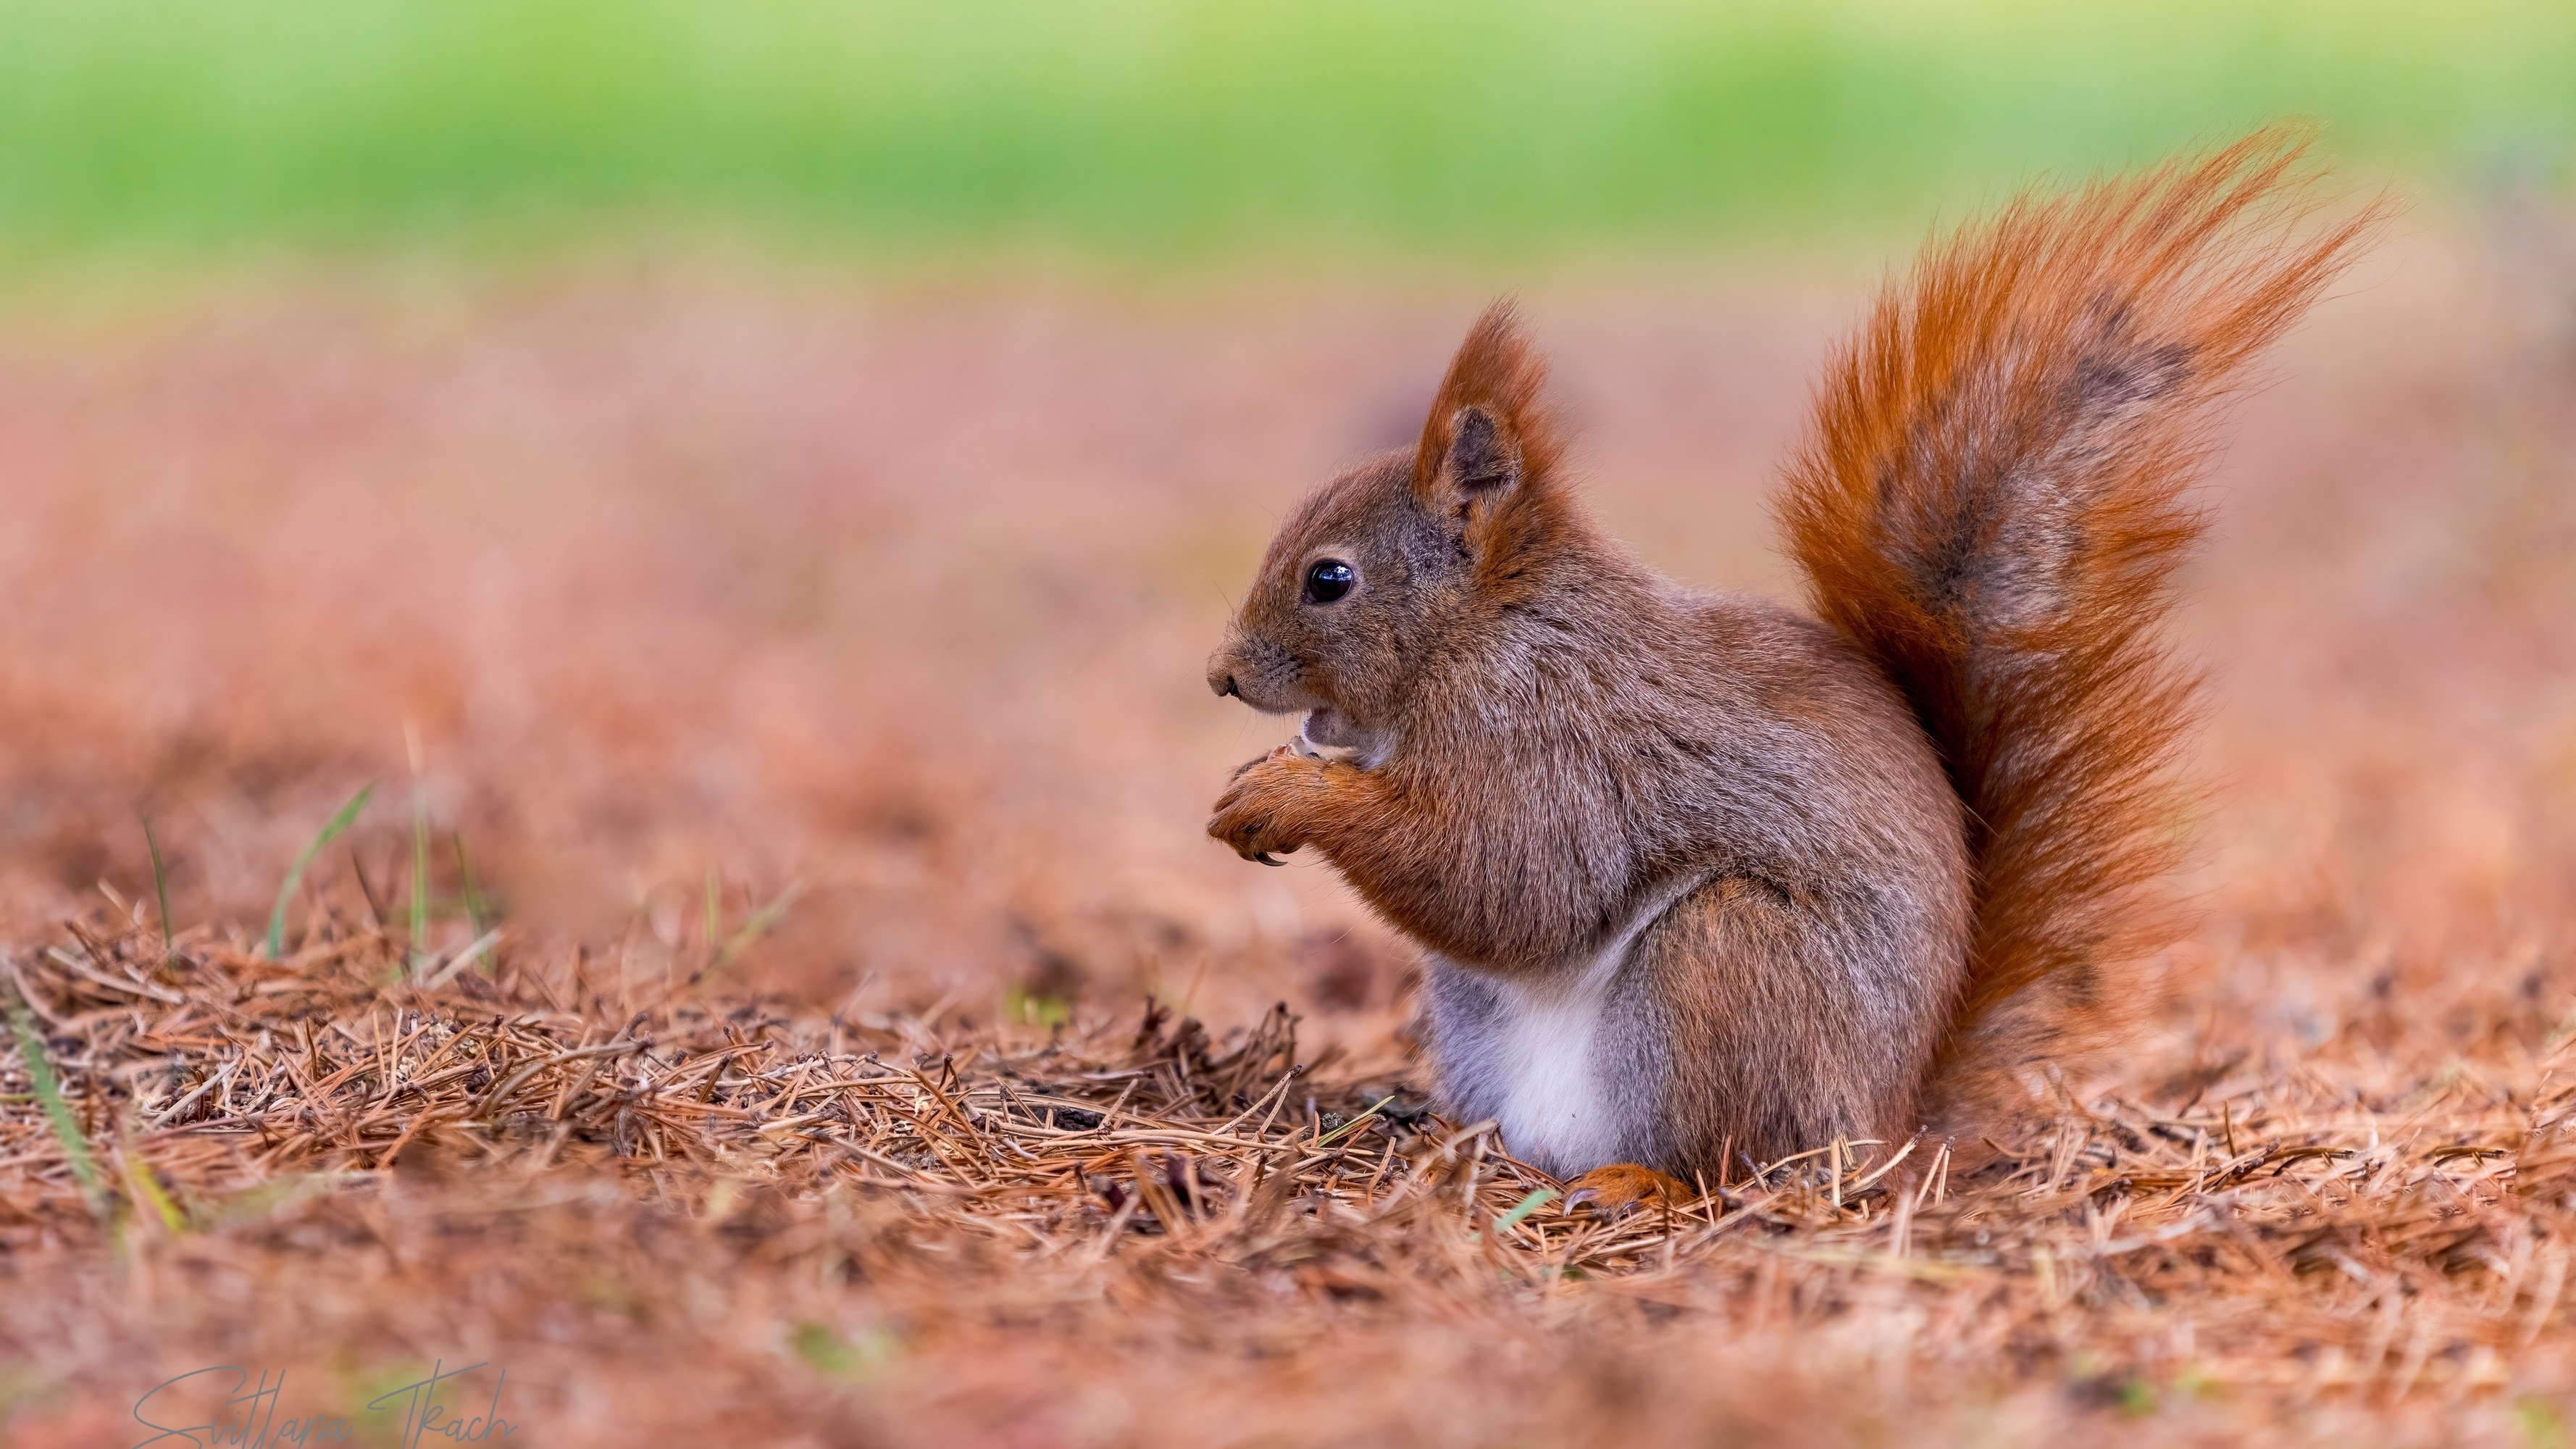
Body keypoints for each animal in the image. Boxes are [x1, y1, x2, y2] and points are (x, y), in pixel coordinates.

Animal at [1200, 133, 2370, 1196]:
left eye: (1331, 580)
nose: (1221, 677)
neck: (1485, 629)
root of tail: (1885, 1122)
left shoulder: (1554, 732)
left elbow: (1517, 878)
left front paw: (1289, 796)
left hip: (1728, 963)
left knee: (1730, 1160)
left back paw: (1638, 1182)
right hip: (1478, 1012)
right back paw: (1460, 1148)